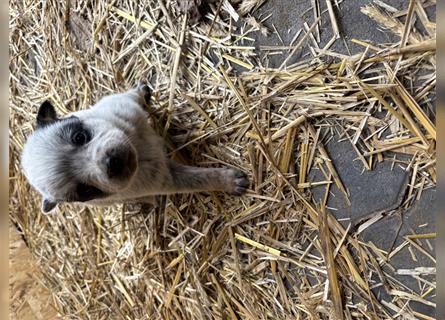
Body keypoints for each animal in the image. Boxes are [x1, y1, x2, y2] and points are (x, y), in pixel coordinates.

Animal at [20, 84, 248, 214]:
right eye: (85, 190)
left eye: (80, 137)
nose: (112, 164)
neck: (137, 146)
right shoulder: (165, 179)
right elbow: (202, 178)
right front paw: (230, 182)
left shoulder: (121, 104)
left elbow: (132, 96)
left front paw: (143, 91)